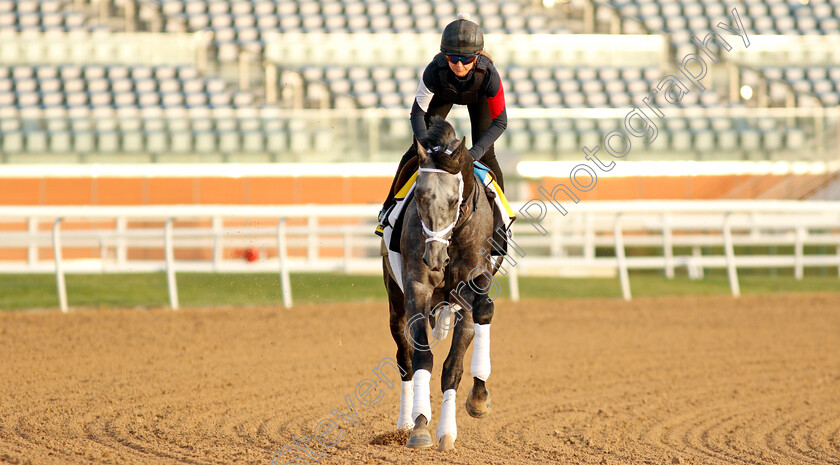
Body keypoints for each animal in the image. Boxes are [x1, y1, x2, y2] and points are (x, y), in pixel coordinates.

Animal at [384, 115, 502, 450]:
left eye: (454, 200)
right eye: (419, 196)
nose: (435, 257)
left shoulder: (468, 292)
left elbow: (453, 367)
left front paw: (449, 429)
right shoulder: (416, 288)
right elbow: (421, 357)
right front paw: (420, 425)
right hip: (395, 301)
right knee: (404, 359)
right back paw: (404, 423)